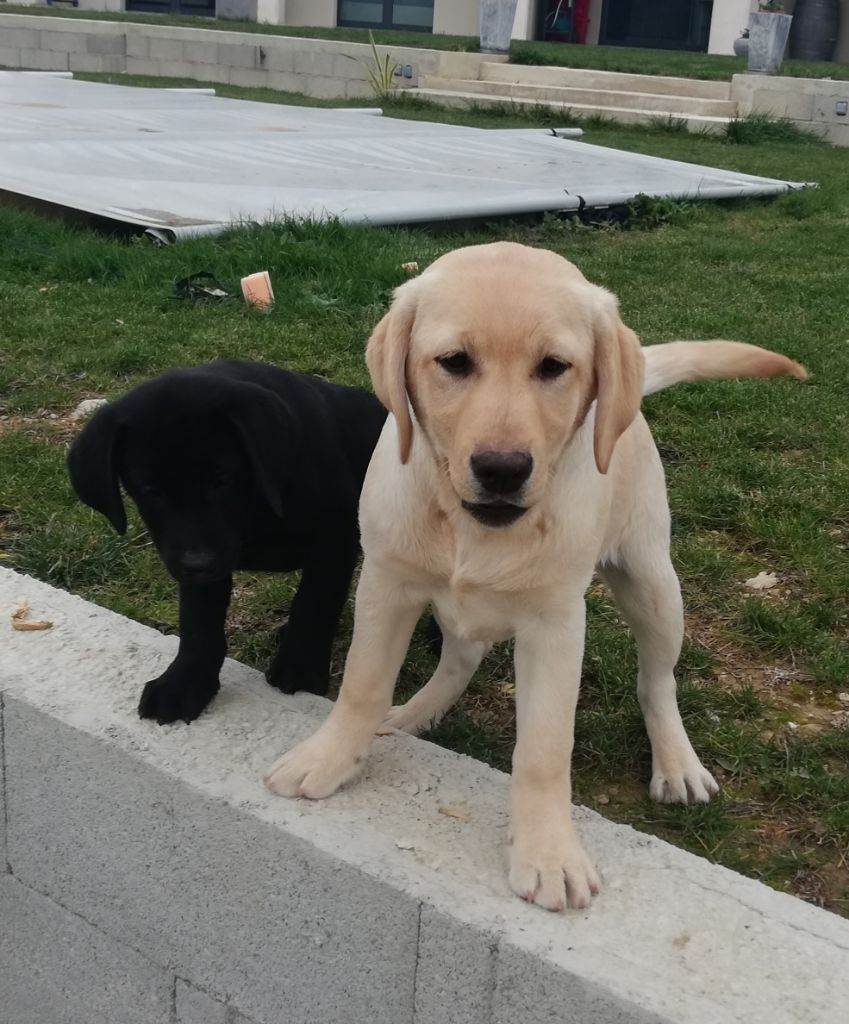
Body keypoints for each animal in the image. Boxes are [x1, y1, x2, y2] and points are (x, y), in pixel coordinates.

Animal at [66, 360, 385, 729]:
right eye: (150, 490)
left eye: (223, 479)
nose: (198, 563)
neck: (258, 506)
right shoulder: (199, 561)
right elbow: (199, 622)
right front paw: (185, 681)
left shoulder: (333, 540)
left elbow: (315, 603)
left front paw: (300, 667)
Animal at [264, 241, 802, 913]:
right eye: (454, 362)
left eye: (553, 367)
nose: (502, 469)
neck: (472, 527)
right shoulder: (385, 582)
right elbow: (362, 685)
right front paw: (328, 757)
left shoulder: (555, 625)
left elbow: (544, 750)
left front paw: (549, 854)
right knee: (460, 657)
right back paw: (415, 712)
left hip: (652, 581)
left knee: (657, 681)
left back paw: (676, 762)